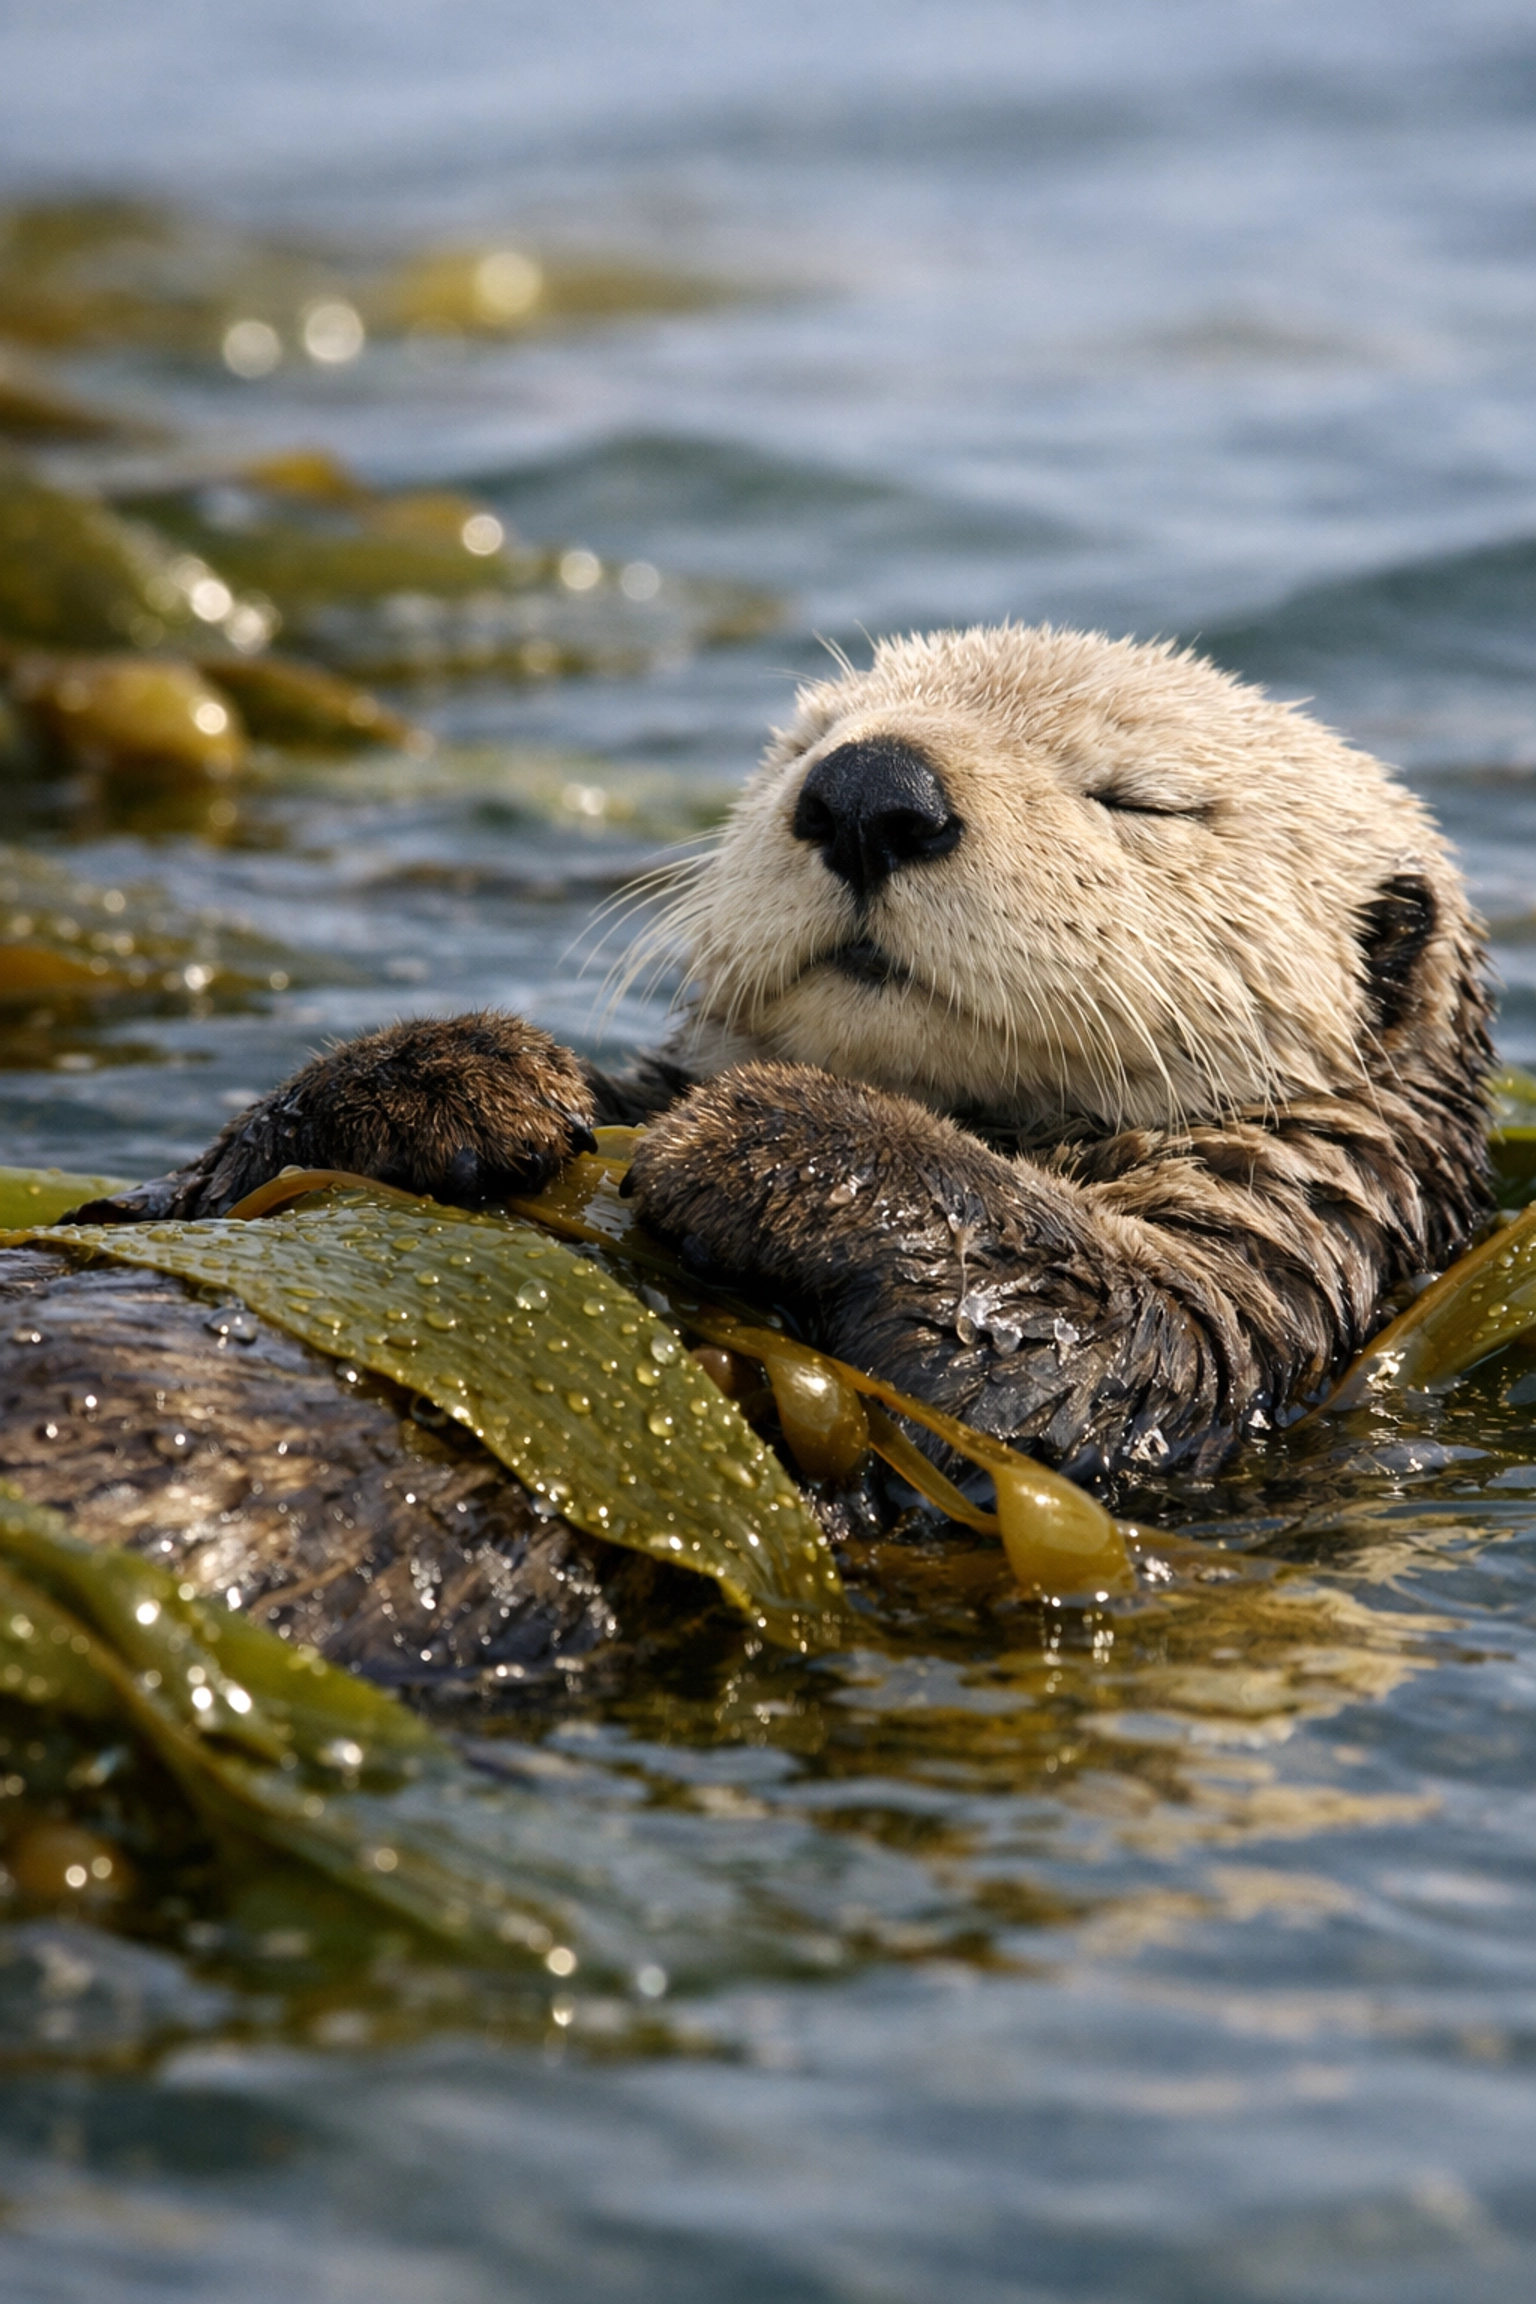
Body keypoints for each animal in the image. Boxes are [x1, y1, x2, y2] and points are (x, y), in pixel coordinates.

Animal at [0, 626, 1493, 1682]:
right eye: (803, 746)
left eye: (1143, 802)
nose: (871, 789)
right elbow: (181, 1194)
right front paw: (464, 1073)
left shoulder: (1257, 1270)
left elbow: (1076, 1345)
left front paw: (769, 1136)